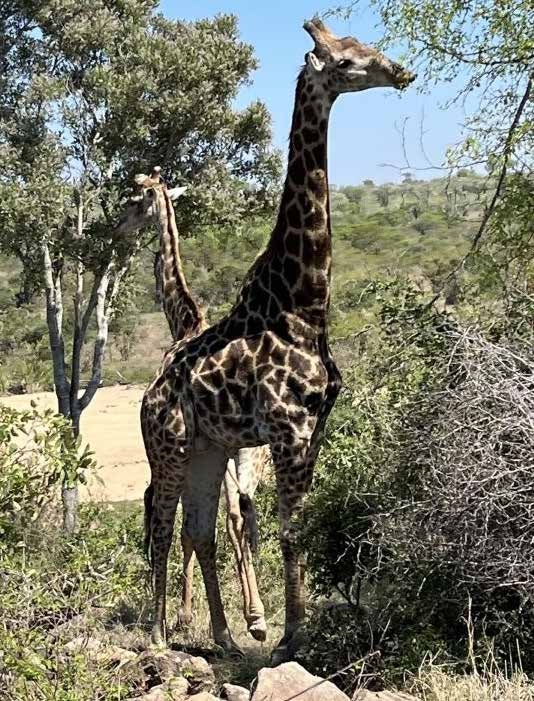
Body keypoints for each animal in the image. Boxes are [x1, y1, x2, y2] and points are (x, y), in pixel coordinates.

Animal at [117, 170, 270, 643]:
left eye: (133, 202)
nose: (117, 229)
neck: (184, 322)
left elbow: (185, 530)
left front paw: (182, 616)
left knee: (221, 518)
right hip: (250, 456)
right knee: (243, 513)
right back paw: (256, 617)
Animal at [140, 18, 415, 662]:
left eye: (368, 47)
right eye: (345, 60)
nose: (402, 72)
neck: (304, 304)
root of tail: (148, 394)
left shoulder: (315, 426)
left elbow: (295, 526)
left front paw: (286, 628)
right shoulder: (289, 429)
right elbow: (289, 529)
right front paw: (293, 635)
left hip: (208, 448)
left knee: (197, 527)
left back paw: (220, 637)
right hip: (169, 444)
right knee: (162, 523)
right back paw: (160, 636)